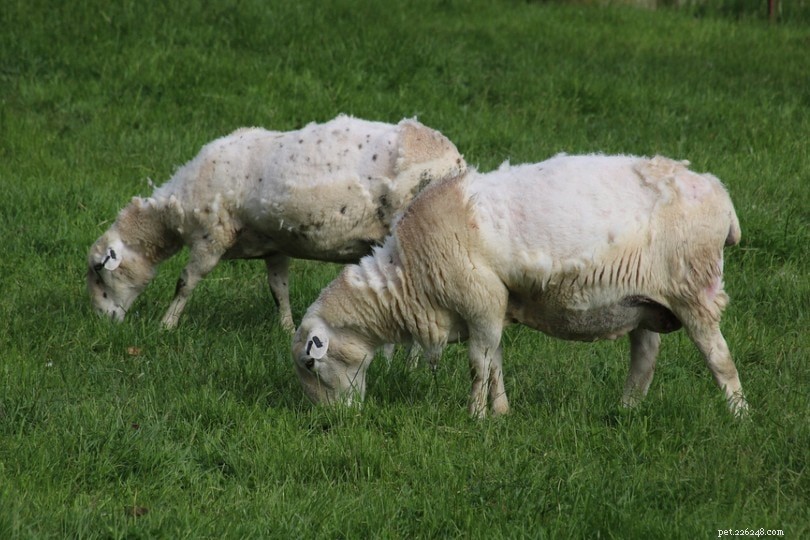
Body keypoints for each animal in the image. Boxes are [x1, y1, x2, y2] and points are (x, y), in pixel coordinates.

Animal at [87, 115, 466, 330]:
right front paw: (286, 328)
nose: (104, 324)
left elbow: (186, 282)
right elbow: (278, 289)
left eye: (99, 272)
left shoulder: (212, 236)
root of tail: (457, 161)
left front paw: (166, 325)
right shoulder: (274, 245)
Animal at [292, 154, 748, 417]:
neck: (408, 277)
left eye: (310, 365)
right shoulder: (492, 308)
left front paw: (474, 417)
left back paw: (738, 417)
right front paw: (500, 412)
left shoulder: (479, 300)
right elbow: (494, 360)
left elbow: (478, 365)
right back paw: (626, 411)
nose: (331, 422)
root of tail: (720, 194)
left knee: (719, 358)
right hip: (643, 304)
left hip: (694, 288)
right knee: (644, 360)